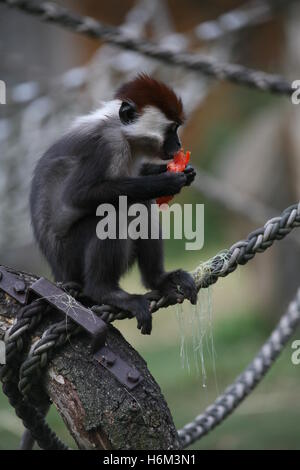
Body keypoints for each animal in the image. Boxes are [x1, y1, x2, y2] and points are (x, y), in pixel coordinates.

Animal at [30, 74, 198, 334]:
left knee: (140, 206)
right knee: (117, 210)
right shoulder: (108, 145)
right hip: (72, 256)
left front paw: (180, 172)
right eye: (172, 130)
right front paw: (165, 182)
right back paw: (104, 291)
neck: (123, 132)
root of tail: (60, 274)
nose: (178, 145)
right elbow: (78, 195)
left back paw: (158, 279)